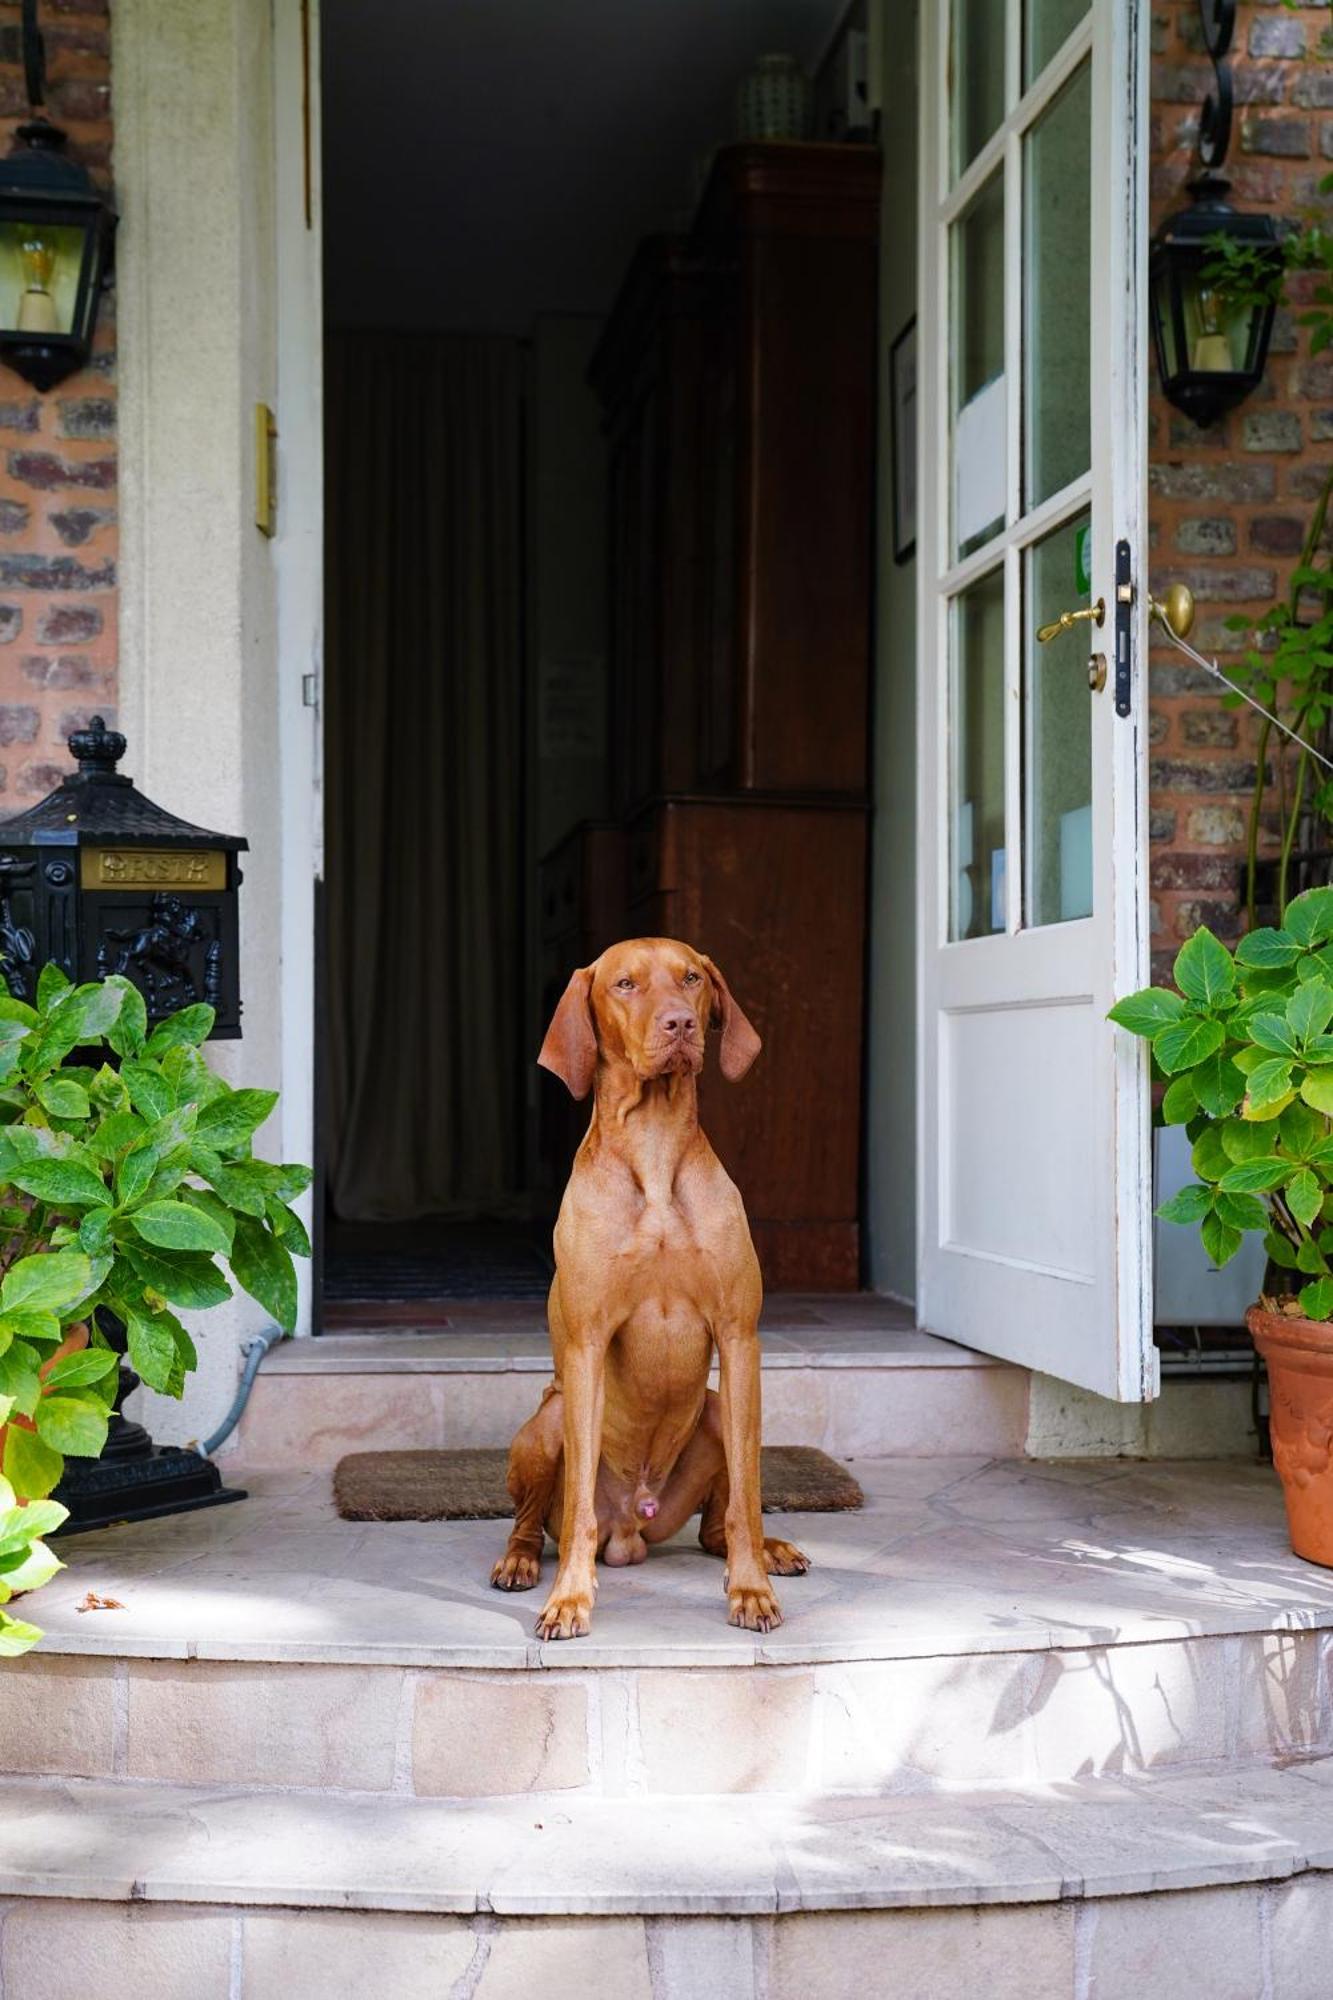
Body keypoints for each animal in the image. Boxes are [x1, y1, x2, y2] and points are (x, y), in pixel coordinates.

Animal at [488, 936, 800, 1640]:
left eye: (691, 979)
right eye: (625, 984)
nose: (680, 1024)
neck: (655, 1154)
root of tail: (635, 1524)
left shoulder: (739, 1338)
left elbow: (747, 1497)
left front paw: (750, 1588)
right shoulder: (586, 1344)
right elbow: (578, 1505)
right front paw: (570, 1599)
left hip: (714, 1408)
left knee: (717, 1527)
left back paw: (768, 1551)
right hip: (547, 1422)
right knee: (534, 1520)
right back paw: (520, 1563)